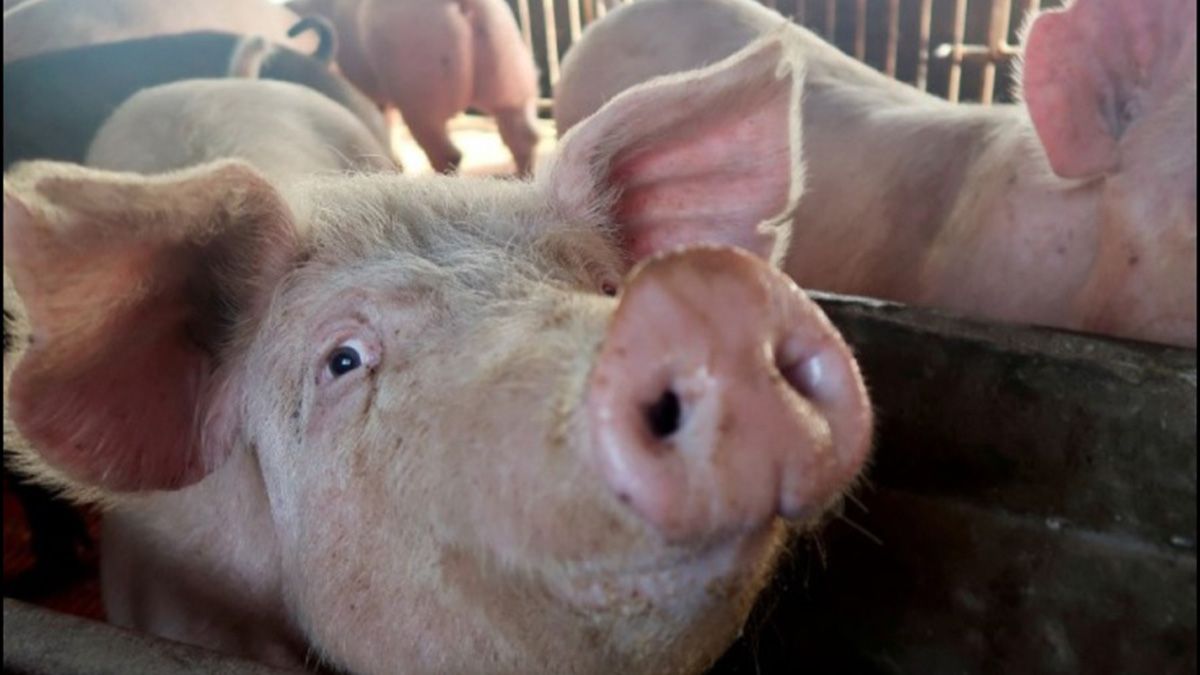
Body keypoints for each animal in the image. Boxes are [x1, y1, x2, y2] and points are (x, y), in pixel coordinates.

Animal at [289, 0, 543, 175]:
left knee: (447, 153)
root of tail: (466, 4)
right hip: (510, 66)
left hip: (419, 86)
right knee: (524, 136)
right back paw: (522, 178)